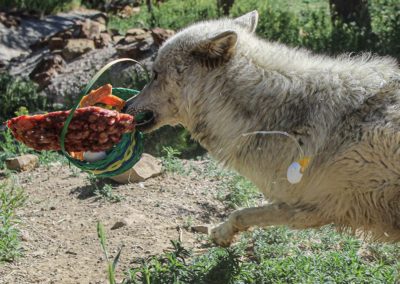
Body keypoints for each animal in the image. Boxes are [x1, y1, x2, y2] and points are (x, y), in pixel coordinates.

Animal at [126, 11, 400, 246]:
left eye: (155, 75)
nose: (127, 104)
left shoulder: (316, 206)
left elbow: (241, 213)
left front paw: (221, 234)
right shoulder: (306, 206)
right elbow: (242, 214)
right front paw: (222, 234)